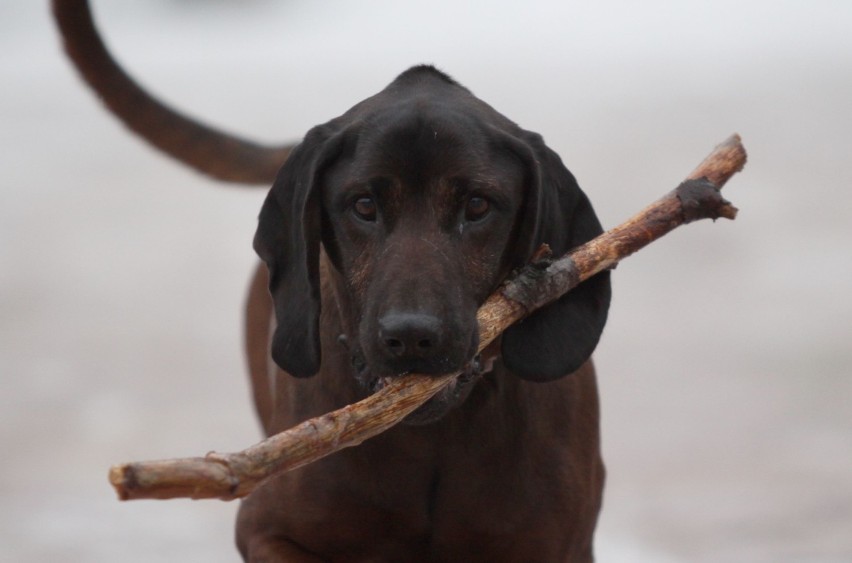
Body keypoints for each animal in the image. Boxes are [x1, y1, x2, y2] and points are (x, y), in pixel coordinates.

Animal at [53, 2, 608, 560]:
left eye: (477, 206)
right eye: (363, 205)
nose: (412, 336)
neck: (433, 437)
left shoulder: (555, 544)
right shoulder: (266, 529)